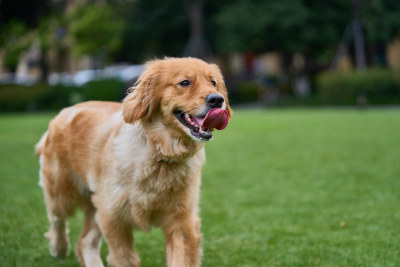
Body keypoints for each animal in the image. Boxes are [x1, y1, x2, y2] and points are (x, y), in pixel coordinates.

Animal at [36, 57, 234, 266]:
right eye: (185, 82)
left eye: (213, 82)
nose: (217, 100)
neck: (161, 155)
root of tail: (65, 111)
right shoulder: (114, 218)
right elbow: (125, 258)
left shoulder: (182, 221)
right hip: (63, 191)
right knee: (56, 217)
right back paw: (58, 247)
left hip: (96, 205)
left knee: (85, 242)